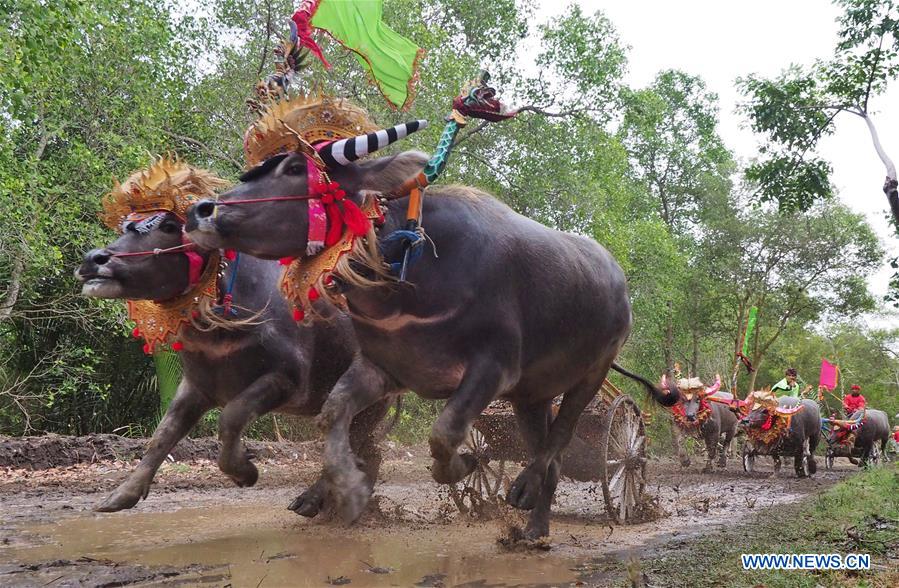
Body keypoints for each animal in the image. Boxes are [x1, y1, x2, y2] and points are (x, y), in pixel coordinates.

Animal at [76, 161, 386, 516]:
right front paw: (121, 495)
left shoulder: (287, 380)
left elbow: (231, 417)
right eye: (127, 226)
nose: (93, 260)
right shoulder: (195, 387)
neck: (221, 327)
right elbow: (161, 436)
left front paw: (244, 472)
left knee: (352, 442)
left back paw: (313, 499)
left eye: (168, 225)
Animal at [186, 132, 680, 536]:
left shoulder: (492, 369)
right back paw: (532, 527)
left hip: (592, 374)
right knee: (550, 455)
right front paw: (349, 488)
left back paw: (523, 494)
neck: (410, 268)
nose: (200, 210)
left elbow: (444, 434)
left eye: (293, 169)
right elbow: (333, 414)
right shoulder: (382, 368)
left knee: (560, 440)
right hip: (532, 394)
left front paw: (464, 463)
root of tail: (619, 284)